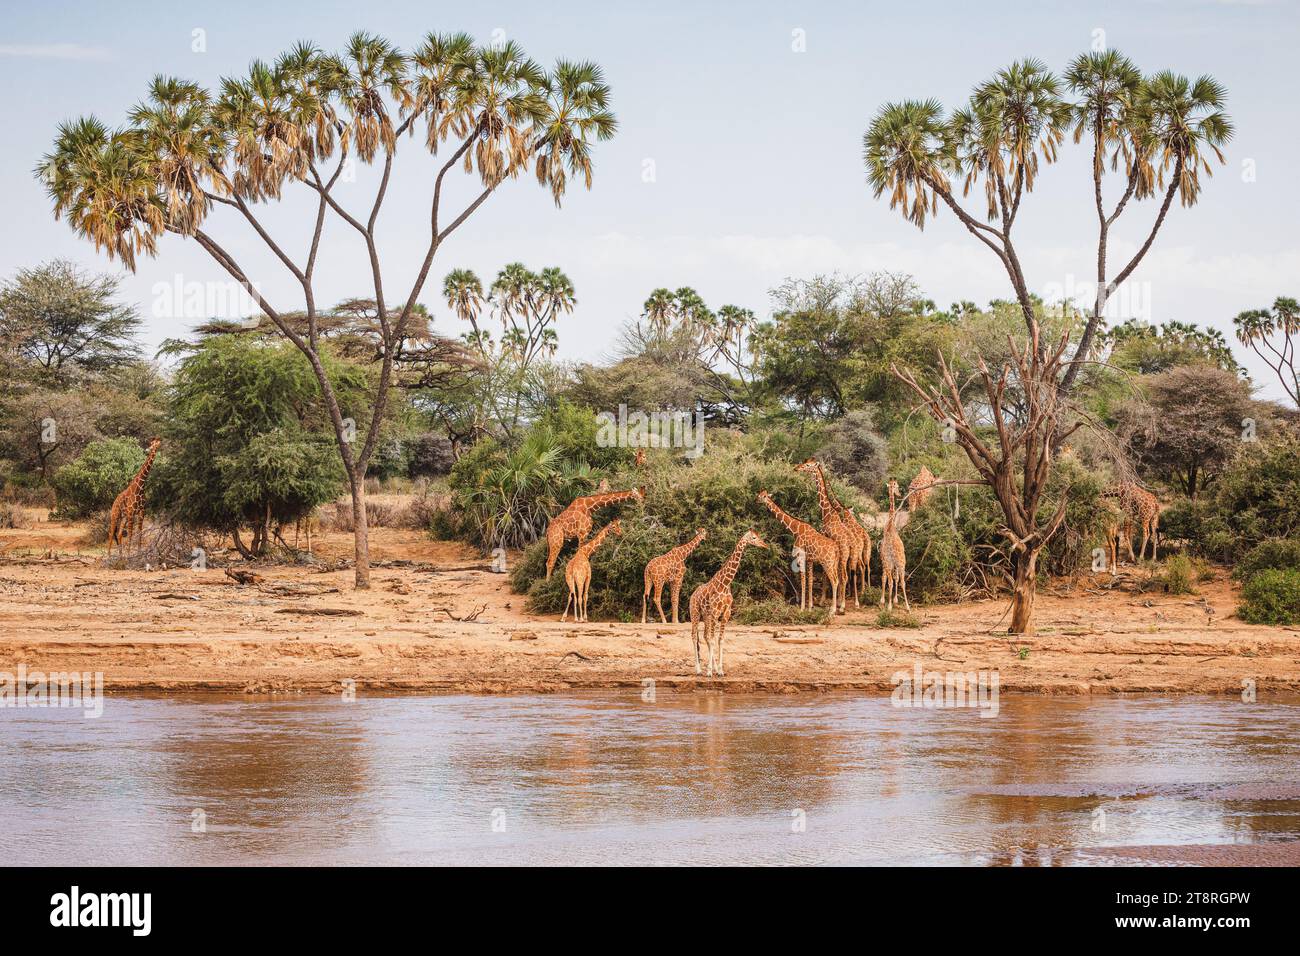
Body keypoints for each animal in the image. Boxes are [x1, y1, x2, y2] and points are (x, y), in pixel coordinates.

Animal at [686, 530, 764, 681]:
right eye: (753, 537)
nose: (764, 545)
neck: (725, 583)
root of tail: (692, 595)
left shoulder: (726, 613)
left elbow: (720, 640)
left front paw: (720, 670)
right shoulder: (716, 612)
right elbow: (713, 639)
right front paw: (709, 671)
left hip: (706, 616)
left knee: (705, 636)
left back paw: (713, 668)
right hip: (695, 613)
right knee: (694, 635)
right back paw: (698, 669)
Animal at [790, 463, 852, 613]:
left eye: (808, 465)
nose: (797, 468)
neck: (827, 512)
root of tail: (849, 544)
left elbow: (824, 574)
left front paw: (823, 601)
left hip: (841, 556)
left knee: (842, 576)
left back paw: (840, 606)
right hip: (845, 557)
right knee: (845, 576)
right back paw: (841, 603)